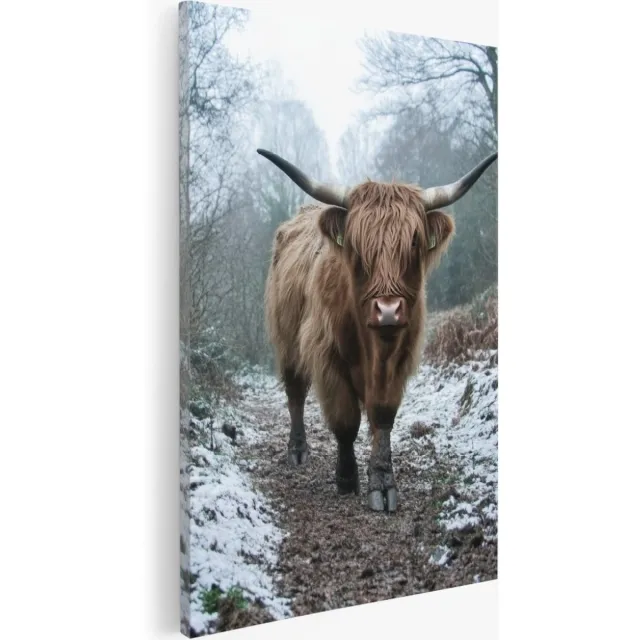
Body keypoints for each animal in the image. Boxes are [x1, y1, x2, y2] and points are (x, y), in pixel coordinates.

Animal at [258, 148, 497, 512]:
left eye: (413, 243)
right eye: (357, 246)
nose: (387, 311)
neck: (371, 346)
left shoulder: (400, 356)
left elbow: (382, 416)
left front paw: (383, 482)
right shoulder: (328, 356)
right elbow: (345, 422)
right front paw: (346, 479)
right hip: (286, 342)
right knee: (295, 393)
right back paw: (298, 450)